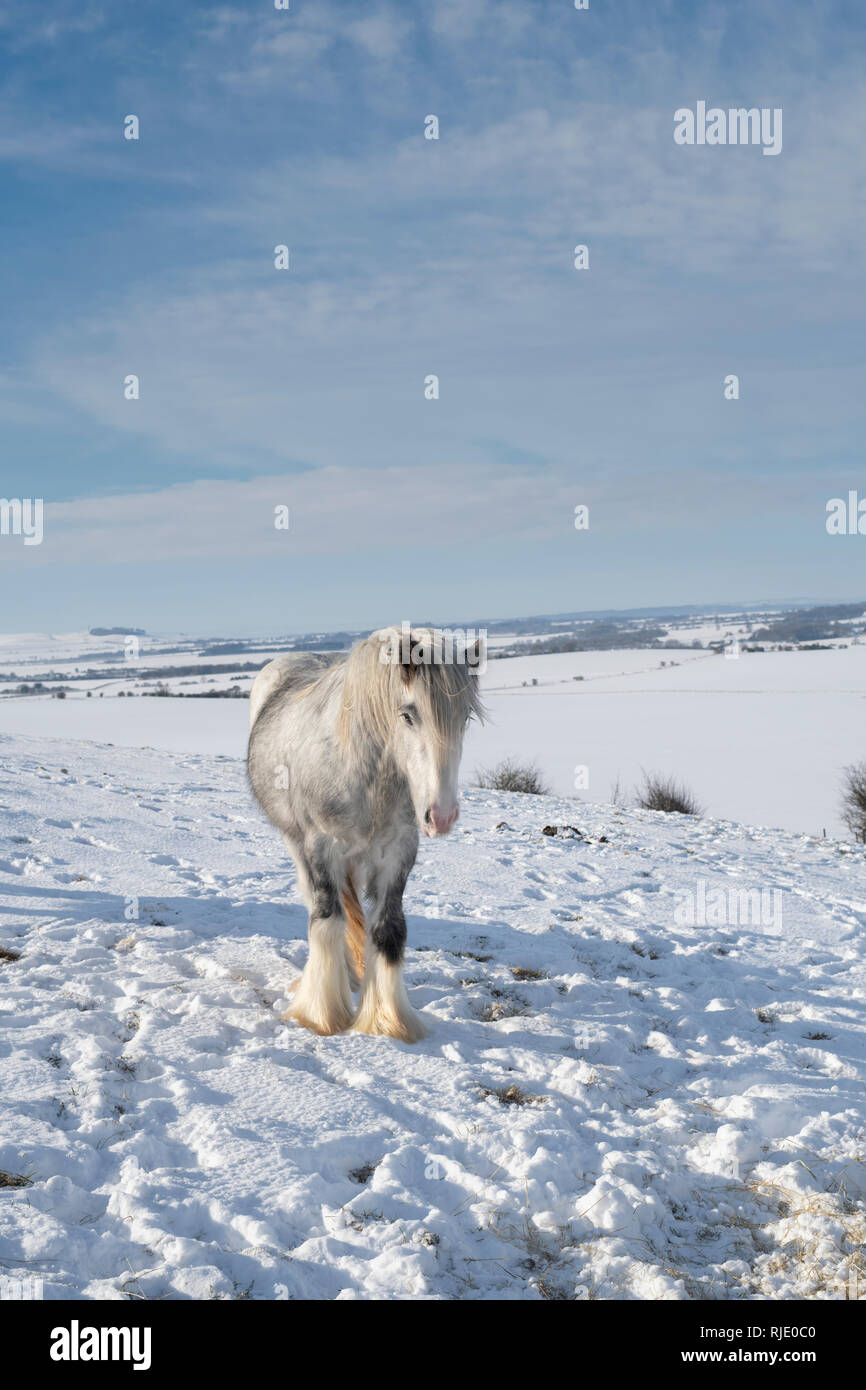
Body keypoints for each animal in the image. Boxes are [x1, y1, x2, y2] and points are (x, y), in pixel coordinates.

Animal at [247, 626, 484, 1042]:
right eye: (407, 715)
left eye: (466, 716)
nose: (441, 816)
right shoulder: (320, 848)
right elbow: (328, 922)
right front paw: (321, 1014)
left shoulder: (399, 853)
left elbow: (389, 931)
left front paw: (388, 1021)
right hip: (297, 846)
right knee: (317, 904)